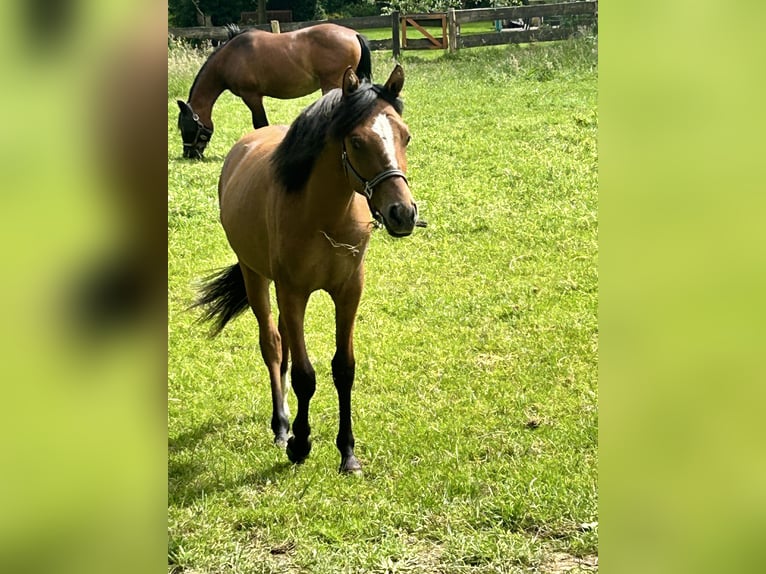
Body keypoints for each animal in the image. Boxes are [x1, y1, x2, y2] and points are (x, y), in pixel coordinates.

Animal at [178, 23, 376, 159]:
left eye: (185, 127)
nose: (189, 154)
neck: (230, 57)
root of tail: (354, 34)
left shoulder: (251, 96)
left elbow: (261, 124)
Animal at [192, 65, 420, 474]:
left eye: (405, 136)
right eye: (357, 141)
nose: (403, 213)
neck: (324, 216)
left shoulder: (349, 291)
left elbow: (344, 369)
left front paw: (348, 452)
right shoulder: (293, 292)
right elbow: (304, 375)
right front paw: (300, 443)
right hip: (256, 277)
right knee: (272, 344)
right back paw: (282, 425)